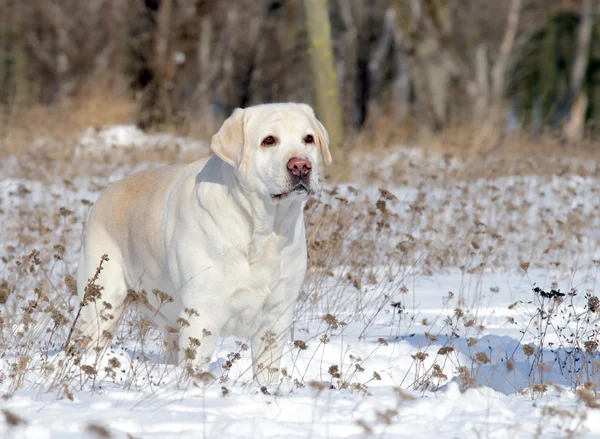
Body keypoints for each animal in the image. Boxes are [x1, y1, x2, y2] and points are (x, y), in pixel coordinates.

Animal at [77, 104, 330, 384]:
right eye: (269, 140)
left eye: (308, 139)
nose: (301, 165)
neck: (262, 229)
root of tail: (105, 193)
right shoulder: (202, 314)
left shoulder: (277, 317)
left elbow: (267, 373)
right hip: (101, 305)